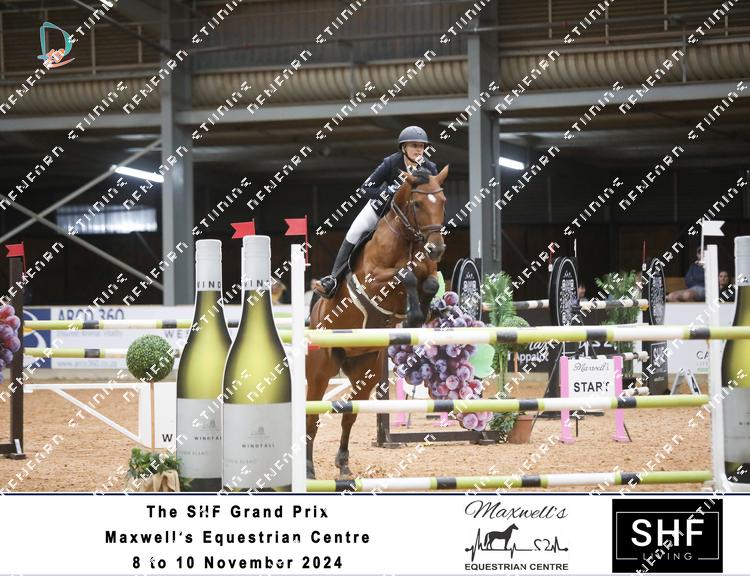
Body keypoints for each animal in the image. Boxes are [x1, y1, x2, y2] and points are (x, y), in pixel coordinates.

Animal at [306, 166, 449, 479]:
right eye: (417, 204)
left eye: (443, 201)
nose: (436, 249)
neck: (408, 241)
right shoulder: (372, 279)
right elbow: (406, 275)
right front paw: (414, 315)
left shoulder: (428, 271)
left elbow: (429, 282)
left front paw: (423, 314)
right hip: (321, 370)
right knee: (311, 415)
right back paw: (308, 469)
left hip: (366, 368)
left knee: (349, 414)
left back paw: (343, 464)